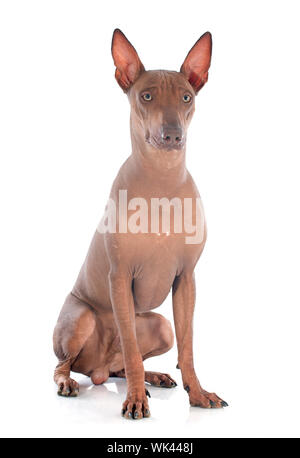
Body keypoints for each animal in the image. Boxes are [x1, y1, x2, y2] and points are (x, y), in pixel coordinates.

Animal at [53, 28, 227, 420]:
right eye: (146, 96)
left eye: (186, 97)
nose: (172, 134)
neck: (161, 180)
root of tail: (98, 369)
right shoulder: (119, 278)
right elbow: (132, 350)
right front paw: (134, 400)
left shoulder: (186, 280)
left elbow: (187, 348)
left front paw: (198, 393)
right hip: (82, 318)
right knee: (66, 363)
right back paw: (70, 382)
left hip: (160, 325)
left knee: (121, 363)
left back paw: (155, 376)